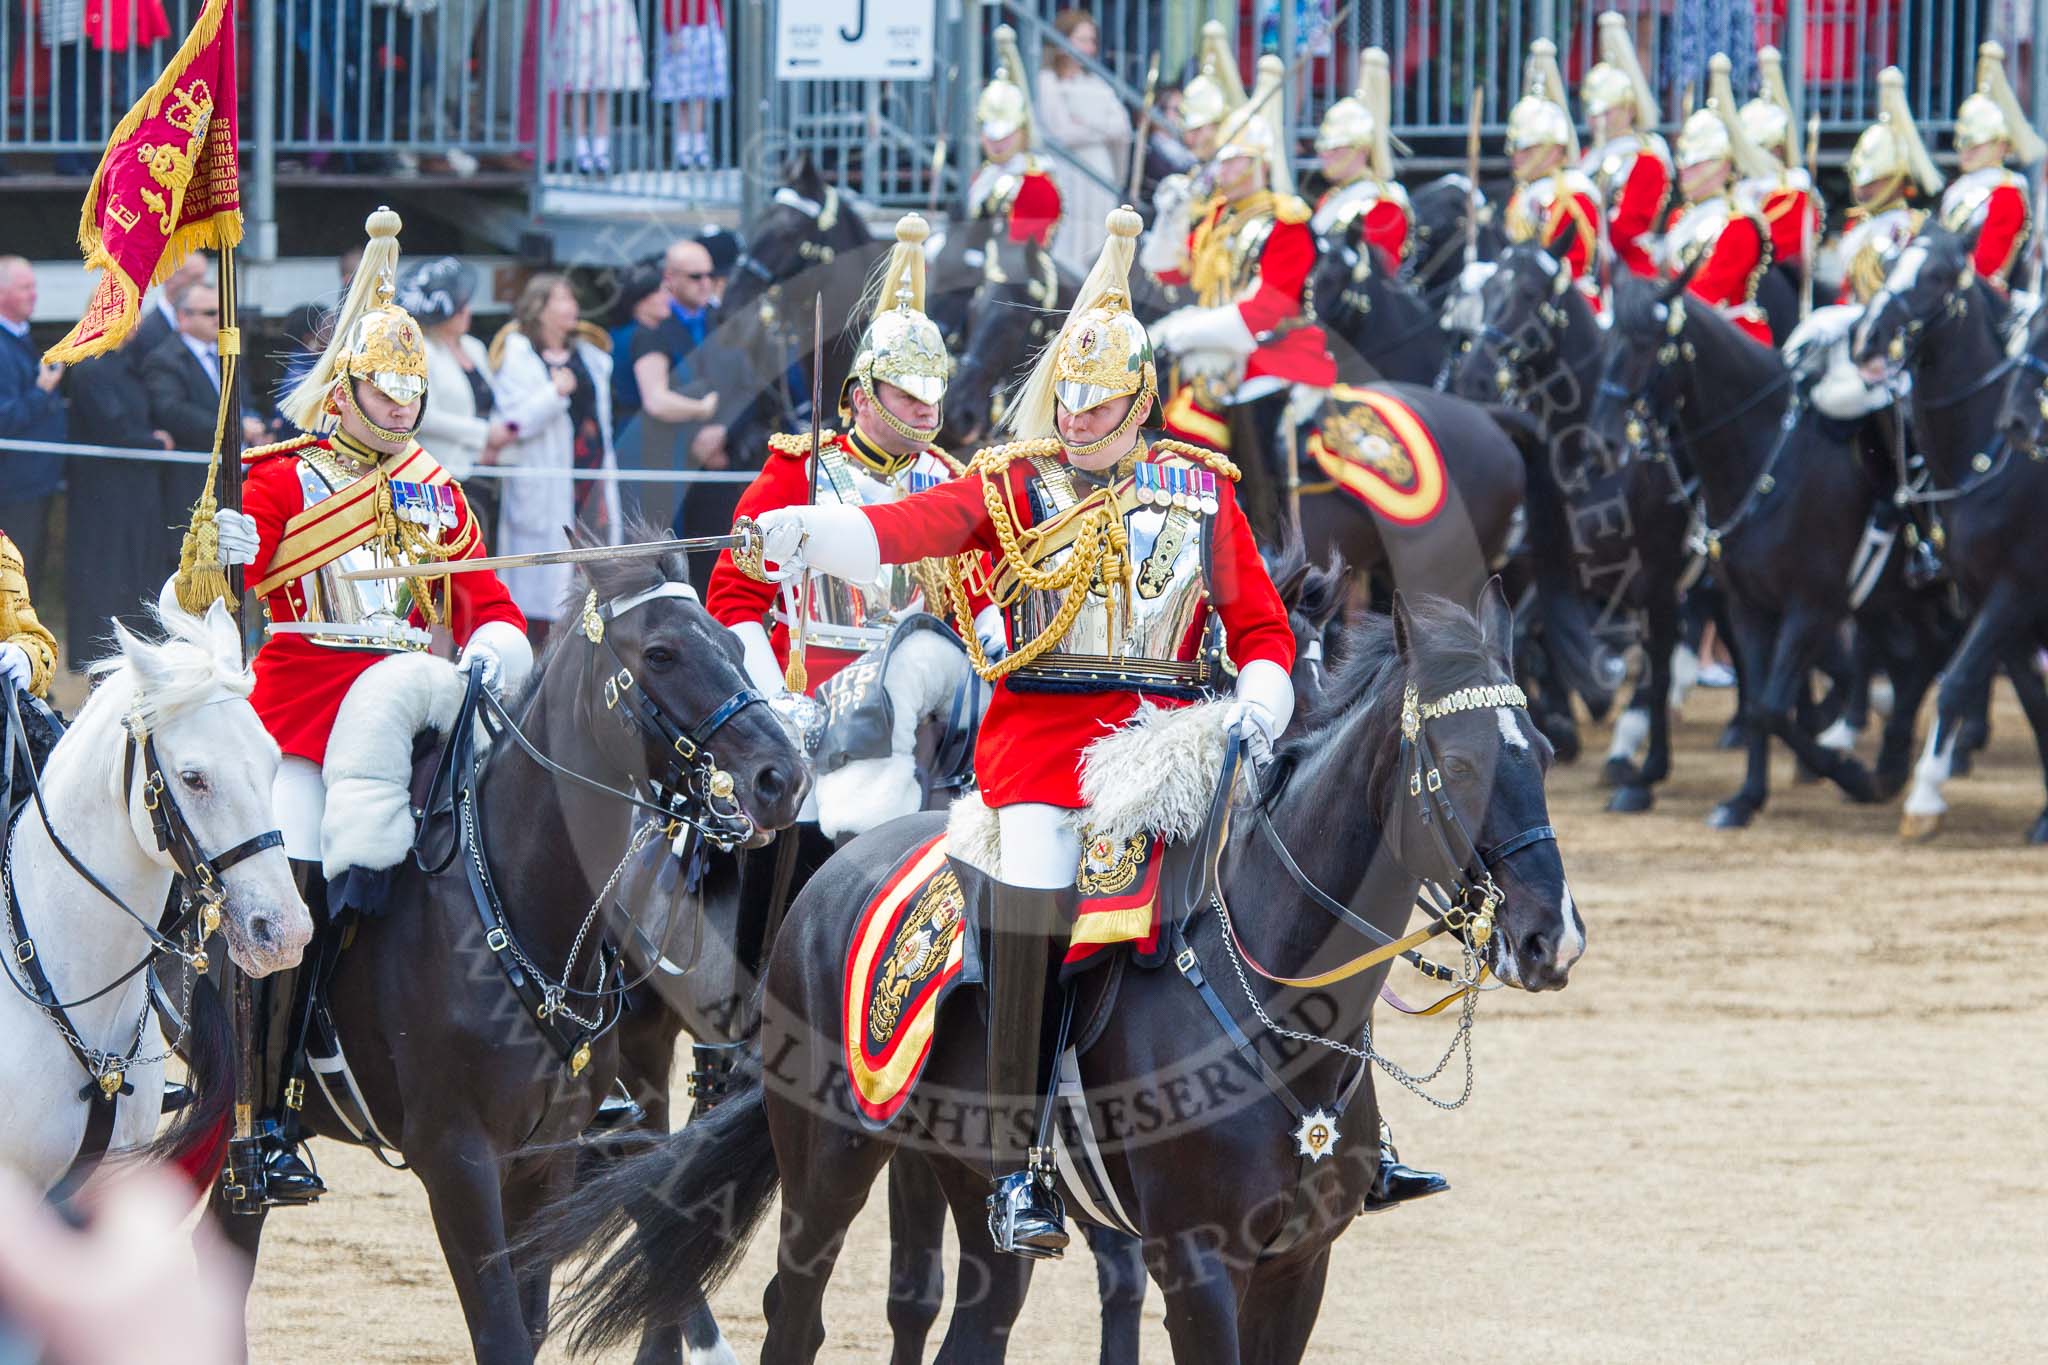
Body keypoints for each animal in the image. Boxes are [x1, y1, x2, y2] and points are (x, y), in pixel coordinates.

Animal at [209, 540, 806, 1358]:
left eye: (733, 642)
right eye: (660, 651)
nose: (784, 777)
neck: (518, 907)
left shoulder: (544, 1157)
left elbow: (533, 1317)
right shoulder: (457, 1162)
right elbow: (502, 1334)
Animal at [524, 585, 1581, 1358]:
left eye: (1542, 748)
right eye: (1454, 763)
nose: (1551, 938)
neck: (1268, 999)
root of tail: (836, 873)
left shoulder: (1298, 1265)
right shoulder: (1197, 1263)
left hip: (971, 1180)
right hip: (825, 1158)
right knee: (798, 1308)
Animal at [1859, 222, 2048, 843]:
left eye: (1939, 275)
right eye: (1890, 264)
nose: (1868, 339)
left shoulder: (2017, 590)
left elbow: (1959, 681)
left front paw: (1923, 800)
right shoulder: (1990, 596)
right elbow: (2033, 702)